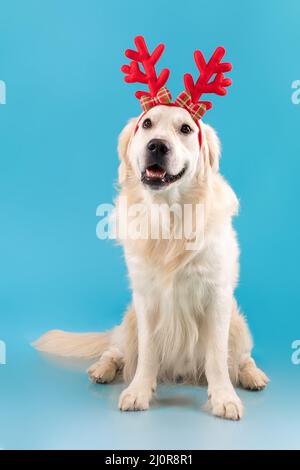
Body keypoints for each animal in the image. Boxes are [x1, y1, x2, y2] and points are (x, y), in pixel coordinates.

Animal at [34, 105, 268, 418]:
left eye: (185, 129)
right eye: (147, 124)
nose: (157, 145)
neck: (169, 217)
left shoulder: (217, 296)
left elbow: (218, 358)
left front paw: (224, 397)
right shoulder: (145, 298)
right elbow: (147, 353)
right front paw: (139, 391)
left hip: (239, 324)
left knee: (243, 357)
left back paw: (253, 375)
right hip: (129, 320)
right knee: (116, 351)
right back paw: (102, 369)